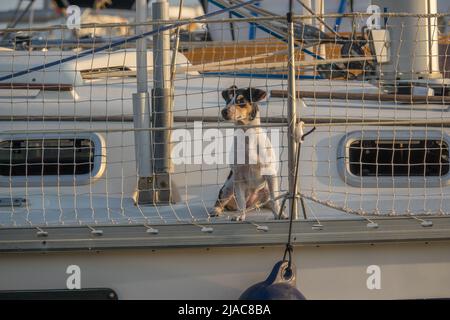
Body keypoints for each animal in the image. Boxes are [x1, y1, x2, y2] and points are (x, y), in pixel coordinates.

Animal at [208, 85, 284, 220]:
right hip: (228, 186)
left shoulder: (270, 174)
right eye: (228, 101)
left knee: (270, 201)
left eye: (241, 101)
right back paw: (216, 210)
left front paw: (279, 214)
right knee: (222, 201)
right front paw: (239, 216)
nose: (224, 111)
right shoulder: (238, 177)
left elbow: (275, 199)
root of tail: (252, 204)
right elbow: (241, 201)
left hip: (265, 190)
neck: (248, 138)